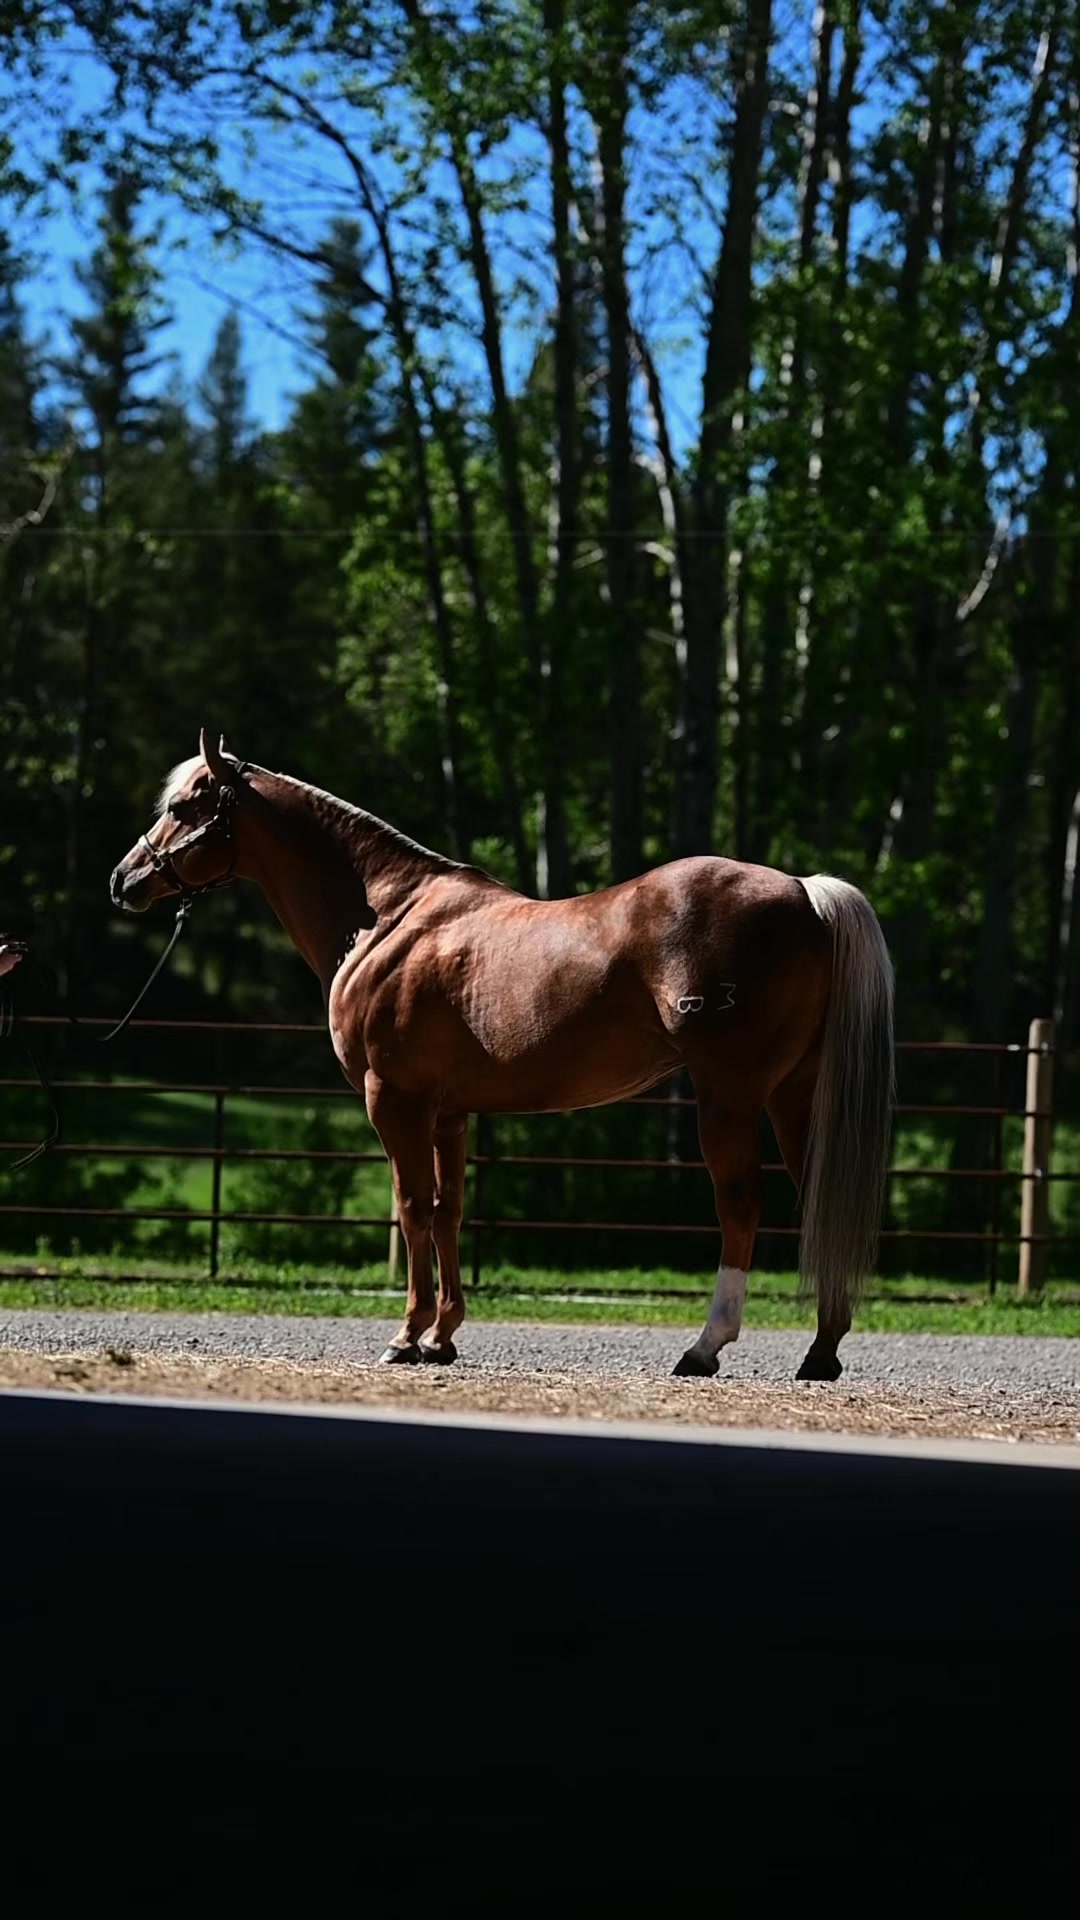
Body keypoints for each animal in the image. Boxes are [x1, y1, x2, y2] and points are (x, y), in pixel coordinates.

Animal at [110, 730, 895, 1380]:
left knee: (740, 1203)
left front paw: (407, 1336)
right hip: (794, 1095)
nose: (123, 880)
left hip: (729, 1095)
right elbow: (449, 1210)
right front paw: (443, 1337)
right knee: (817, 1197)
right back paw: (821, 1351)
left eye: (183, 805)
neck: (387, 917)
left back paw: (705, 1348)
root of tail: (804, 892)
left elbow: (411, 1208)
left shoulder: (393, 1101)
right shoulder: (449, 1114)